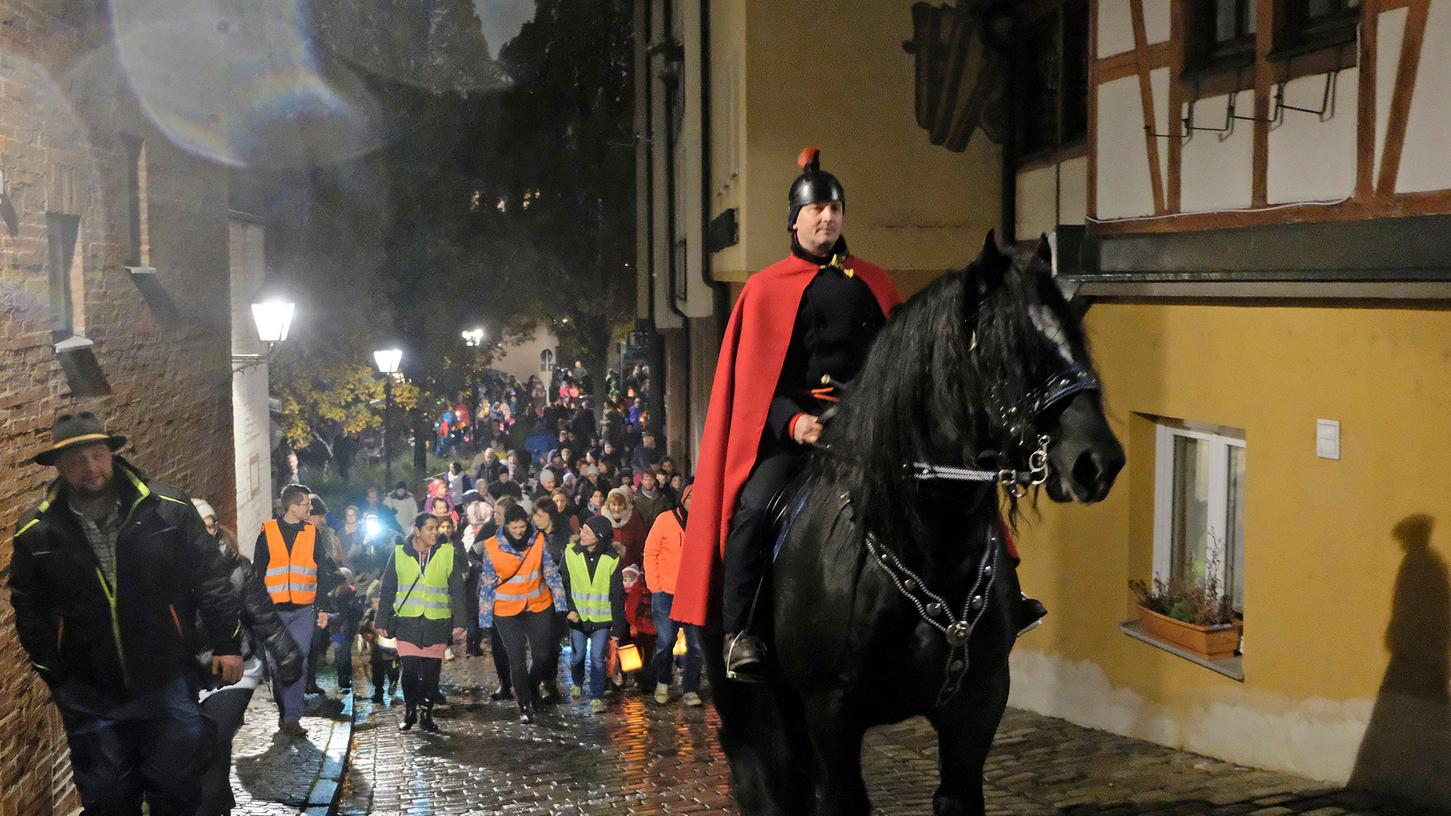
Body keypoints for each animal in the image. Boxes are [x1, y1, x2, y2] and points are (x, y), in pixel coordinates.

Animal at [708, 232, 1125, 807]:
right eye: (1006, 349)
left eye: (1074, 337)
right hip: (758, 710)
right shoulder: (830, 718)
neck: (927, 548)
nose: (1097, 462)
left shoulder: (976, 710)